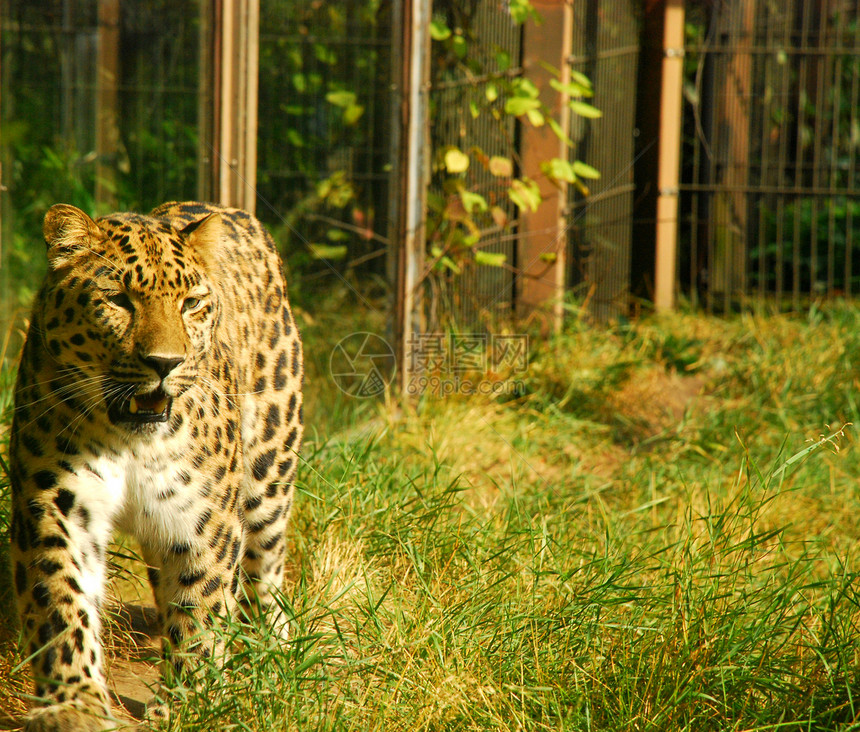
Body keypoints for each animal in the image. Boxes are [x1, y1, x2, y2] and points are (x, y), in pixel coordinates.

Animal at [5, 202, 302, 732]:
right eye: (118, 300)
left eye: (191, 303)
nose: (166, 363)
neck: (130, 441)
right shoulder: (56, 501)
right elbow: (62, 598)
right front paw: (74, 703)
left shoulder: (204, 519)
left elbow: (201, 608)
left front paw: (193, 701)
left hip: (270, 473)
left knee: (265, 569)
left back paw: (269, 655)